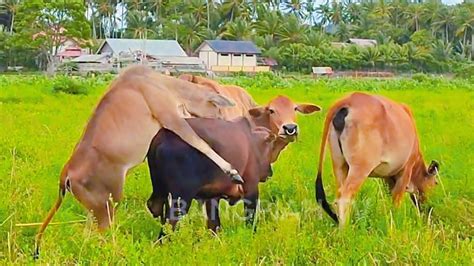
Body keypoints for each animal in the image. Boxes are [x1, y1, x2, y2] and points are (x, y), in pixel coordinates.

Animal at [33, 65, 241, 258]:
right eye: (217, 108)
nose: (224, 122)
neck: (161, 83)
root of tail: (66, 173)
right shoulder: (171, 118)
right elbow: (201, 143)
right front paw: (232, 171)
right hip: (107, 207)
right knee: (99, 236)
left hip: (94, 210)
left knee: (87, 236)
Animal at [316, 92, 438, 227]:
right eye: (435, 183)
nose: (429, 208)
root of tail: (348, 99)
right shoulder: (406, 170)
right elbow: (396, 201)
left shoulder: (388, 177)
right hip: (360, 168)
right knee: (345, 197)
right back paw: (345, 229)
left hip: (340, 165)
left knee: (339, 194)